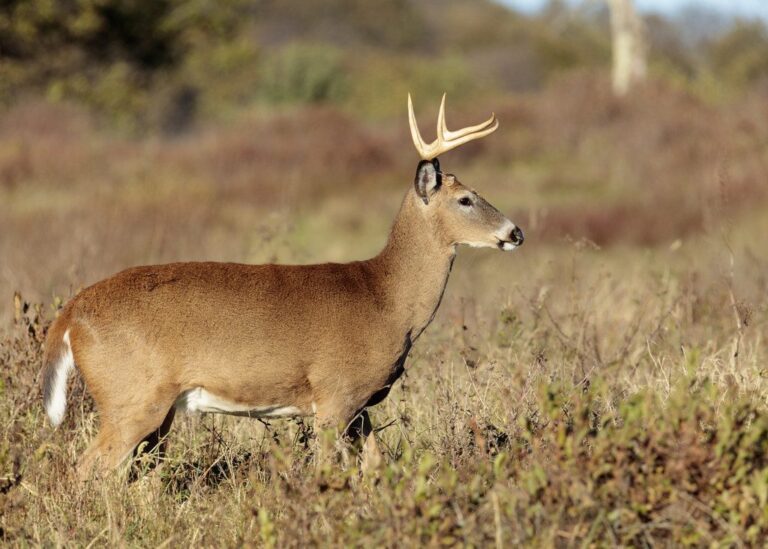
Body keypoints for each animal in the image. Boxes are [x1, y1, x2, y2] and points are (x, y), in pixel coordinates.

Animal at [41, 94, 524, 479]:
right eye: (465, 199)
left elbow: (375, 465)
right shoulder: (335, 393)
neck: (385, 300)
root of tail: (69, 315)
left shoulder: (360, 408)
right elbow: (329, 471)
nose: (515, 232)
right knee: (85, 469)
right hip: (132, 397)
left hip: (153, 410)